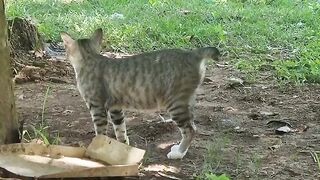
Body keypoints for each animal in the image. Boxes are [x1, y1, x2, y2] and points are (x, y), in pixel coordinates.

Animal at [60, 28, 220, 159]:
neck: (90, 57)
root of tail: (192, 53)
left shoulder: (97, 106)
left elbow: (100, 132)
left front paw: (98, 147)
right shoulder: (116, 107)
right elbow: (120, 130)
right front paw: (123, 146)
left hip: (175, 103)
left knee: (191, 129)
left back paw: (179, 153)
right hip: (187, 100)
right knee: (192, 125)